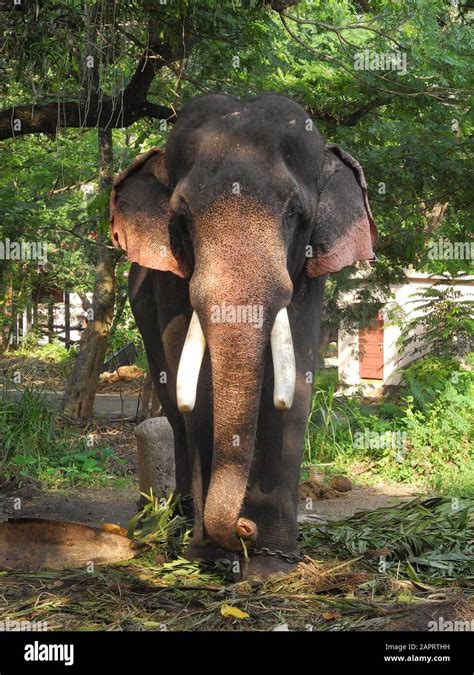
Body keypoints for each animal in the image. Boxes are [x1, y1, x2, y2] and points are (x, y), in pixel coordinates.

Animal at [109, 92, 376, 580]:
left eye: (295, 213)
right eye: (181, 216)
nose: (243, 528)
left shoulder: (307, 274)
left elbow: (298, 381)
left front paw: (271, 563)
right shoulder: (172, 281)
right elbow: (196, 393)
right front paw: (210, 558)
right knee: (171, 405)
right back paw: (181, 517)